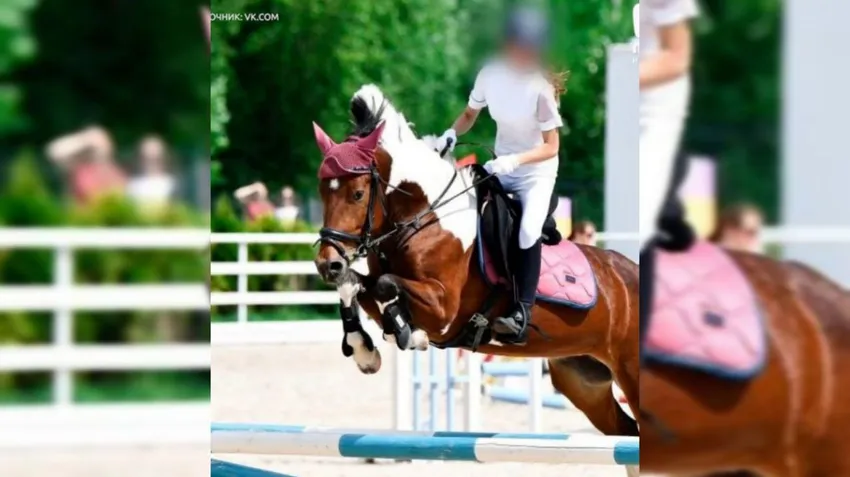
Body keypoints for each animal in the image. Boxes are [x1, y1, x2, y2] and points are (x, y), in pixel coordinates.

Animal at [311, 84, 640, 451]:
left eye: (357, 194)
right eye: (323, 191)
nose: (328, 263)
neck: (425, 217)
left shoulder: (444, 310)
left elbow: (385, 285)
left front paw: (409, 334)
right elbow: (356, 285)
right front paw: (363, 350)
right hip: (584, 381)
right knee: (627, 430)